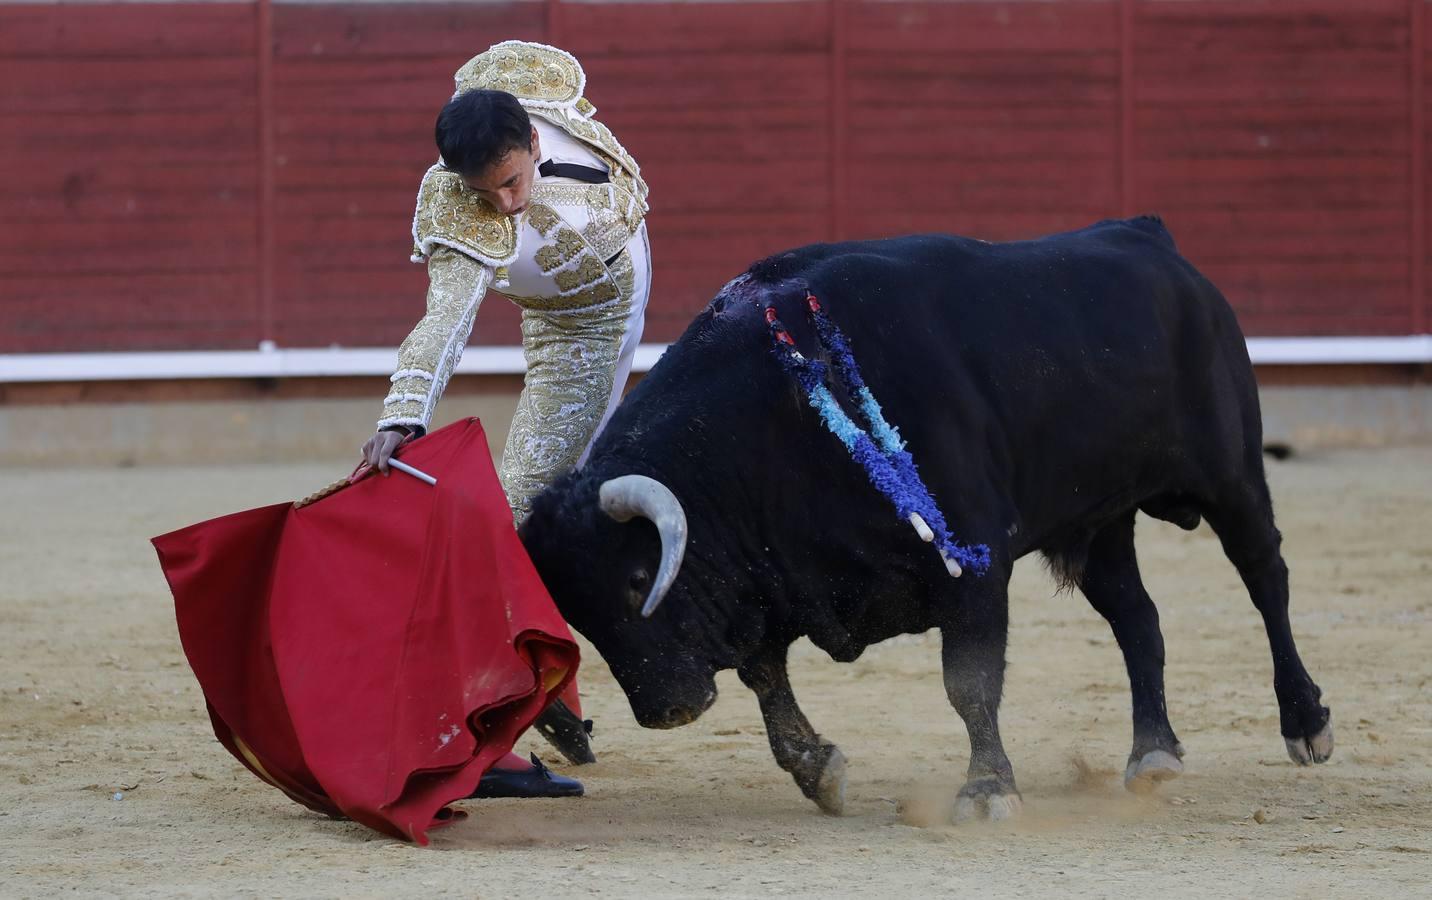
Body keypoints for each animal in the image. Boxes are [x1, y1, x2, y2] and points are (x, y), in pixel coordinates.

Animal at [521, 219, 1334, 825]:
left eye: (638, 579)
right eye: (578, 614)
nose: (666, 710)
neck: (777, 413)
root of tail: (1149, 237)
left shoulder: (975, 570)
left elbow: (968, 684)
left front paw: (987, 791)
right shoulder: (772, 579)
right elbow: (764, 675)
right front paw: (819, 771)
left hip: (1232, 475)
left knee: (1267, 579)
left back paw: (1306, 723)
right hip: (1098, 522)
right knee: (1138, 618)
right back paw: (1153, 754)